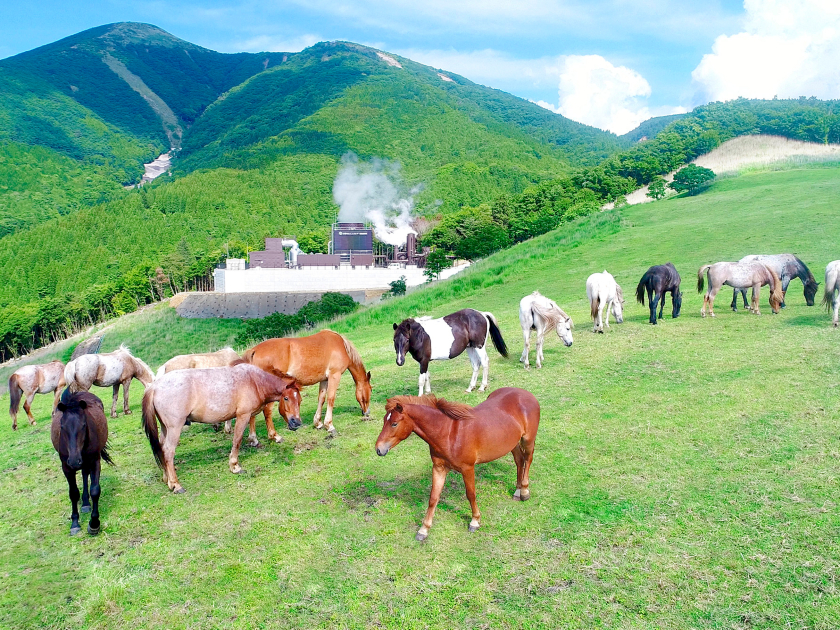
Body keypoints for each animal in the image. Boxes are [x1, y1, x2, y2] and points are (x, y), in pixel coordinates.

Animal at [51, 392, 111, 536]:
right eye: (62, 426)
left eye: (83, 425)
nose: (74, 461)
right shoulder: (66, 467)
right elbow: (73, 493)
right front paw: (75, 524)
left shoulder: (95, 462)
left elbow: (95, 490)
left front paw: (94, 524)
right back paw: (84, 503)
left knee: (85, 474)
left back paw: (86, 503)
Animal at [141, 366, 302, 494]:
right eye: (286, 398)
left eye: (299, 400)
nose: (297, 423)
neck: (254, 381)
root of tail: (154, 387)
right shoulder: (243, 415)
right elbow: (237, 440)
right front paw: (235, 466)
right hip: (174, 428)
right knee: (168, 451)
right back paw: (176, 485)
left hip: (165, 428)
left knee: (161, 449)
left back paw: (167, 479)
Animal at [243, 330, 374, 440]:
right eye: (370, 390)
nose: (366, 412)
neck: (341, 345)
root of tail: (254, 351)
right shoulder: (334, 376)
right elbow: (331, 399)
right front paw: (329, 425)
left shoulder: (324, 379)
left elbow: (321, 399)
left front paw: (318, 423)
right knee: (267, 410)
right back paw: (275, 436)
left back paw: (253, 438)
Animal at [374, 390, 540, 544]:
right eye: (384, 421)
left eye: (394, 423)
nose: (378, 449)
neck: (449, 433)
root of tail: (526, 394)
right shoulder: (439, 468)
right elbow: (433, 498)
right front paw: (423, 530)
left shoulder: (468, 469)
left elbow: (471, 494)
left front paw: (475, 521)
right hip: (512, 442)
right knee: (519, 460)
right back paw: (517, 491)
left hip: (528, 440)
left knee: (528, 460)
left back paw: (524, 491)